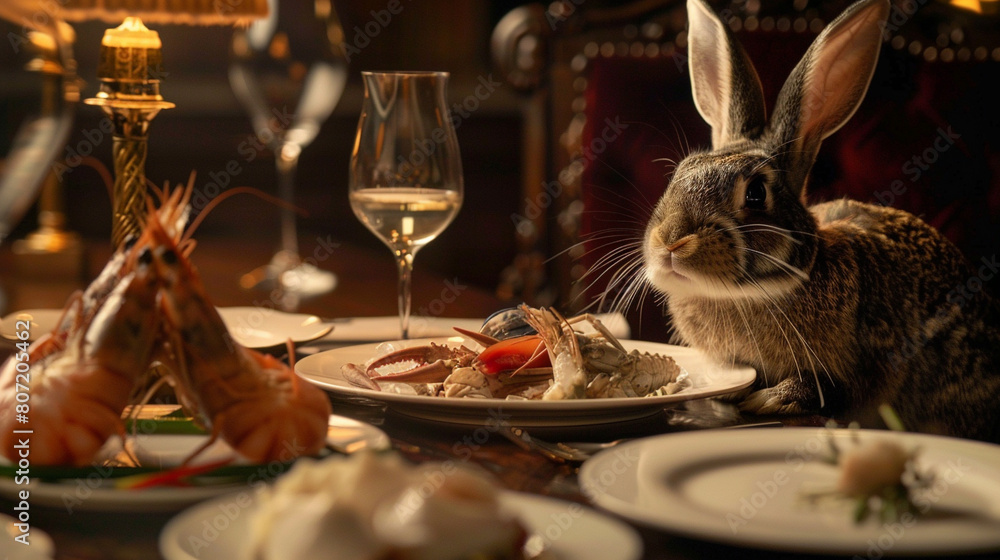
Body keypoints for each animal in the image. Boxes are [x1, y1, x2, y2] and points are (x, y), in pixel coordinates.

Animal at [642, 0, 1000, 442]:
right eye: (679, 173)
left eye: (756, 193)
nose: (671, 240)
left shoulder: (866, 367)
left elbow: (827, 388)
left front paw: (769, 399)